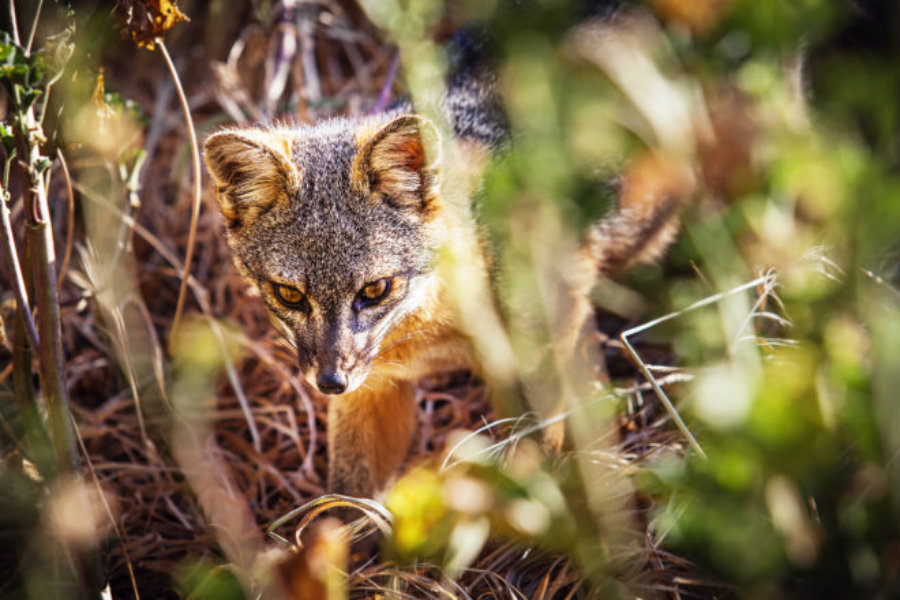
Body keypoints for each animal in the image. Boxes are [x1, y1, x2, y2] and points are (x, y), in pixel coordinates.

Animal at [206, 29, 696, 496]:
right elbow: (345, 501)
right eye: (289, 294)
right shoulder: (375, 388)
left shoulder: (540, 360)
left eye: (374, 290)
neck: (433, 335)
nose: (330, 382)